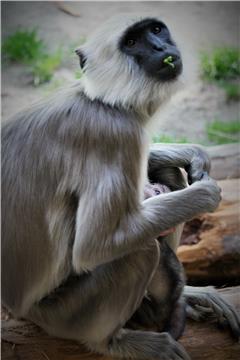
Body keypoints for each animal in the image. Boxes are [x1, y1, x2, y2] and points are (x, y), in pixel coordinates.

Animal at [1, 15, 238, 358]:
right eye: (132, 43)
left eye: (156, 30)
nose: (161, 47)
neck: (99, 100)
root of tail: (14, 305)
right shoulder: (115, 133)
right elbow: (94, 246)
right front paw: (207, 194)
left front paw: (193, 152)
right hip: (61, 314)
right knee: (139, 249)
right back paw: (113, 342)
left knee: (169, 174)